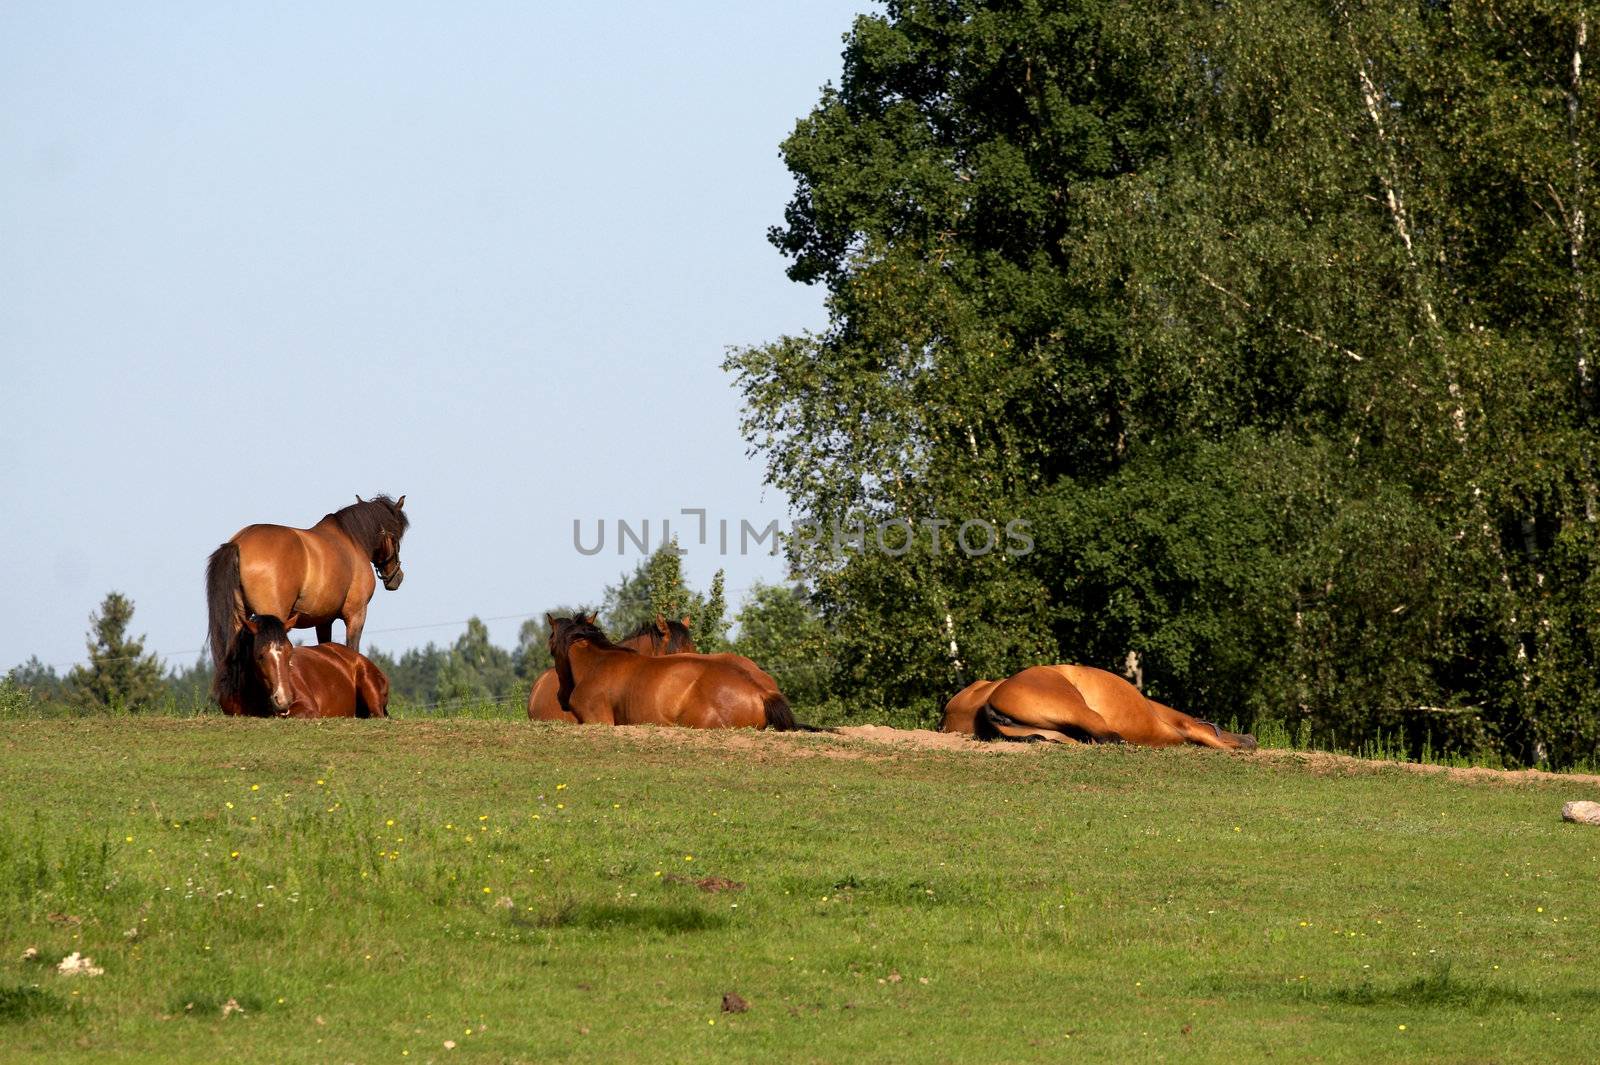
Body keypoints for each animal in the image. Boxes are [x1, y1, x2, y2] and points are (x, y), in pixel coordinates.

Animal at [203, 495, 412, 703]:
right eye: (396, 536)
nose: (397, 577)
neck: (351, 542)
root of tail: (238, 543)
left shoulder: (323, 620)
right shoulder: (356, 615)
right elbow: (352, 648)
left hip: (241, 617)